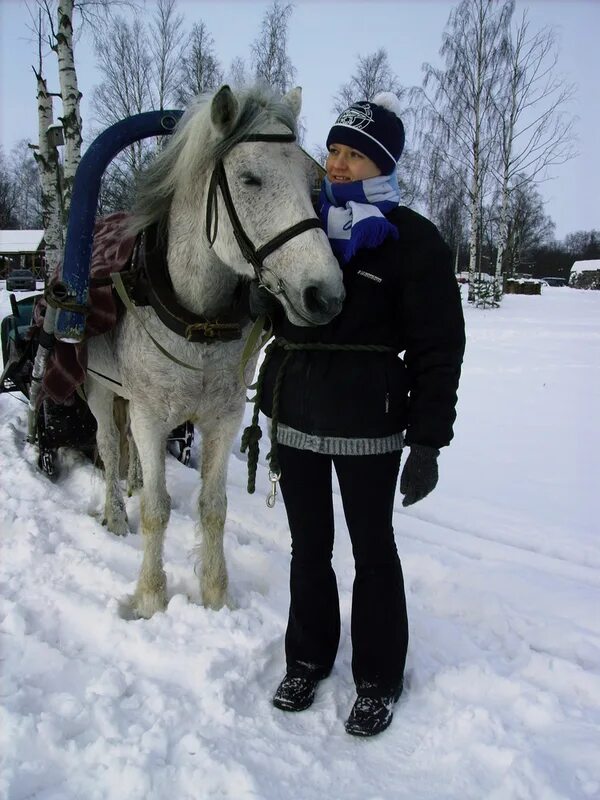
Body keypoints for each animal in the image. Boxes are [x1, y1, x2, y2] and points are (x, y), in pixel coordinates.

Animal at [86, 84, 344, 616]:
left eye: (311, 180)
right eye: (250, 178)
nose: (326, 295)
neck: (197, 321)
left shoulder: (222, 420)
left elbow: (214, 508)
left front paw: (214, 595)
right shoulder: (149, 415)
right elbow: (157, 510)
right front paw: (151, 598)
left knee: (131, 452)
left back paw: (134, 483)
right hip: (99, 391)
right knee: (107, 444)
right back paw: (115, 515)